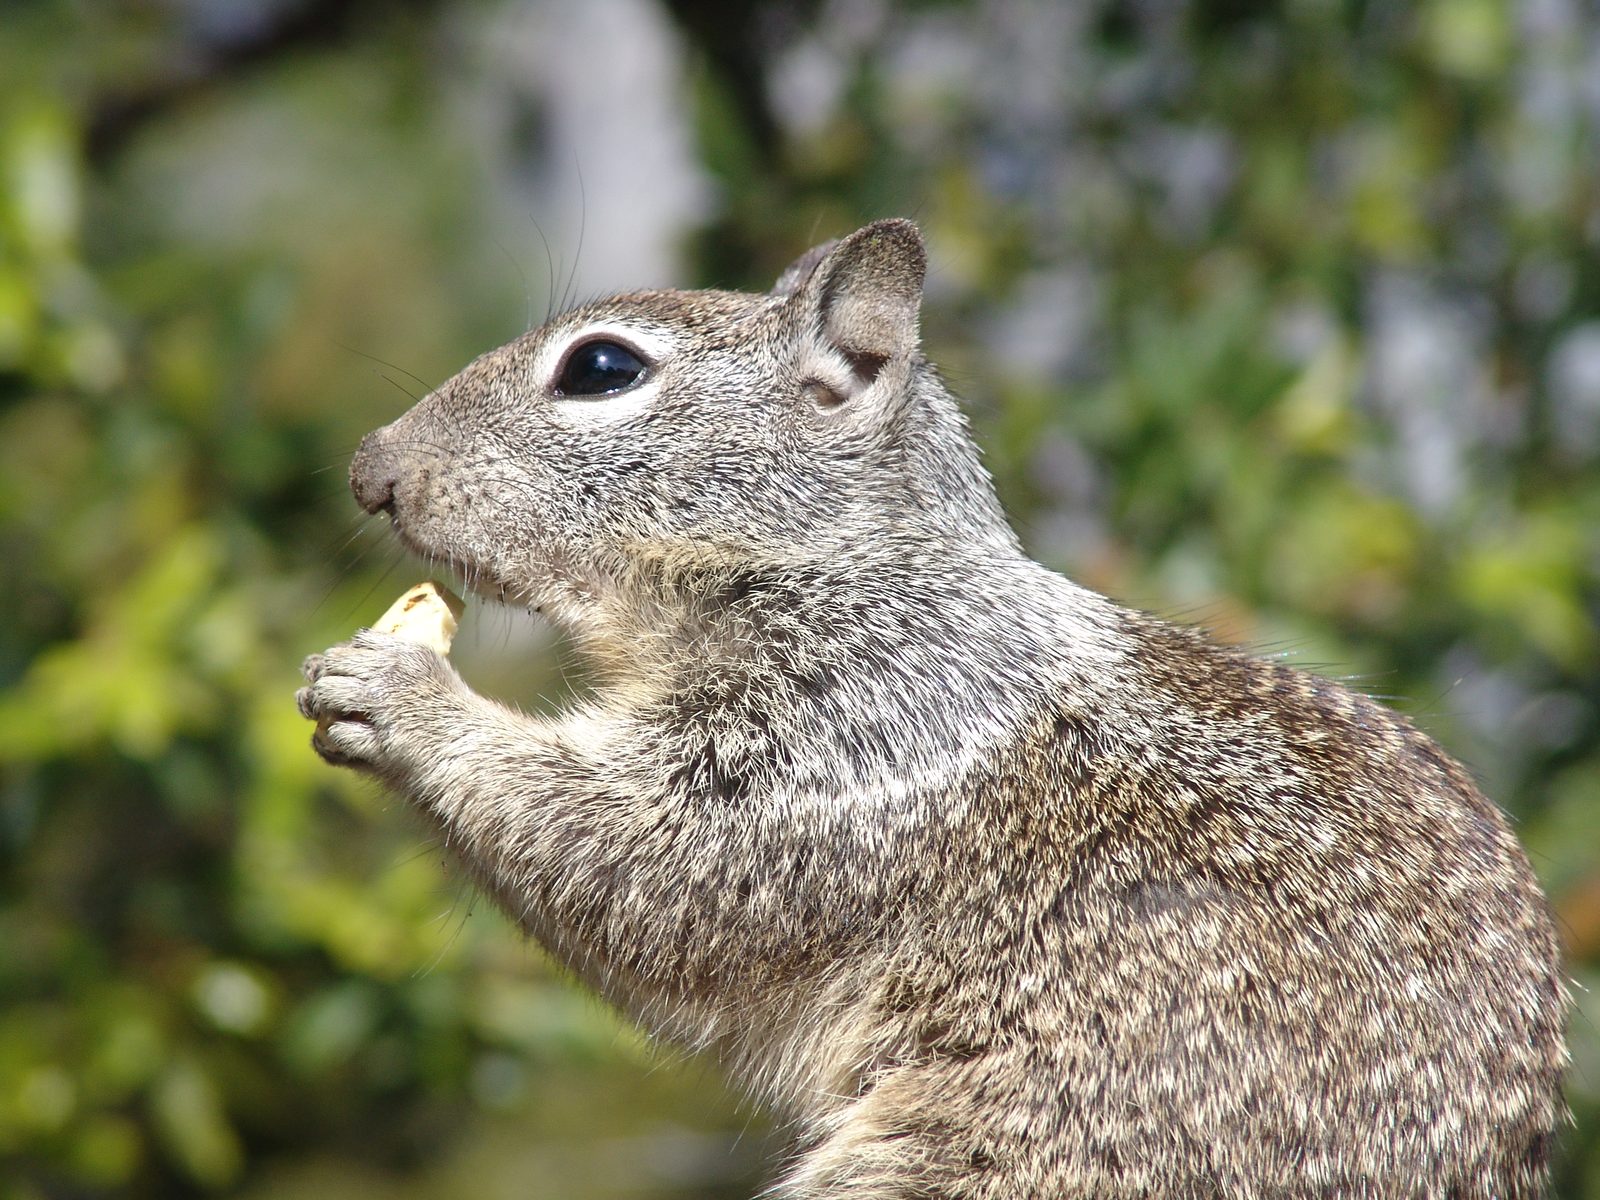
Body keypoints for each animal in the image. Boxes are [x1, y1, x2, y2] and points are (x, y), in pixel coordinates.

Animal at [299, 219, 1567, 1198]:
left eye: (602, 369)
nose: (368, 467)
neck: (842, 560)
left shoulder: (860, 737)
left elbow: (640, 865)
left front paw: (401, 696)